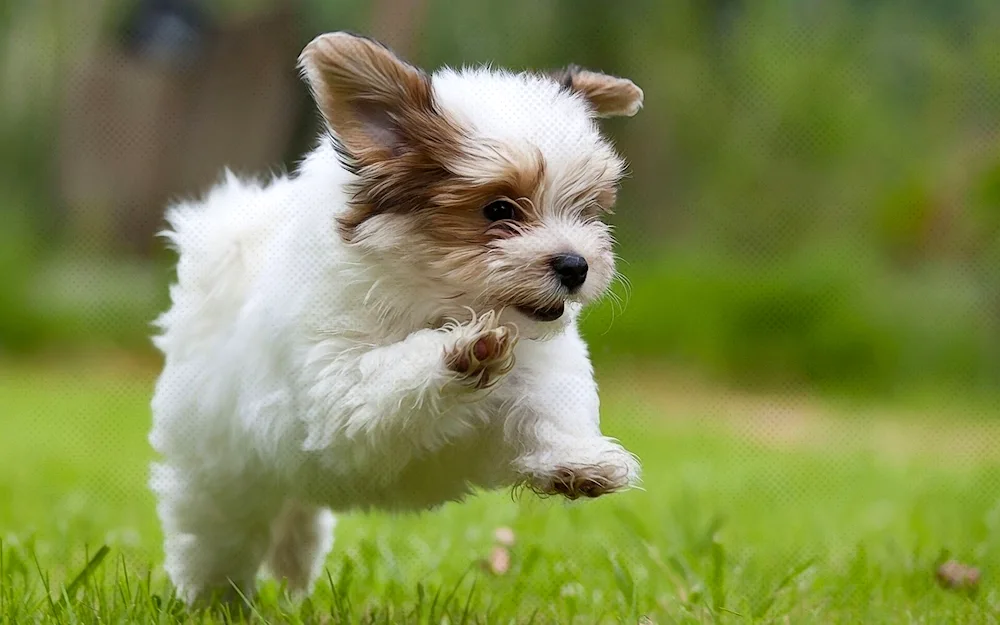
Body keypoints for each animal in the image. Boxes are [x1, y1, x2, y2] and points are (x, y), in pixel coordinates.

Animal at [151, 30, 644, 604]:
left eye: (587, 211)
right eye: (499, 210)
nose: (575, 265)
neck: (440, 298)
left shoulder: (541, 370)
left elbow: (547, 410)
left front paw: (575, 463)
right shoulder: (339, 387)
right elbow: (385, 380)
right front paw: (461, 350)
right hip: (220, 473)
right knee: (217, 536)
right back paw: (217, 599)